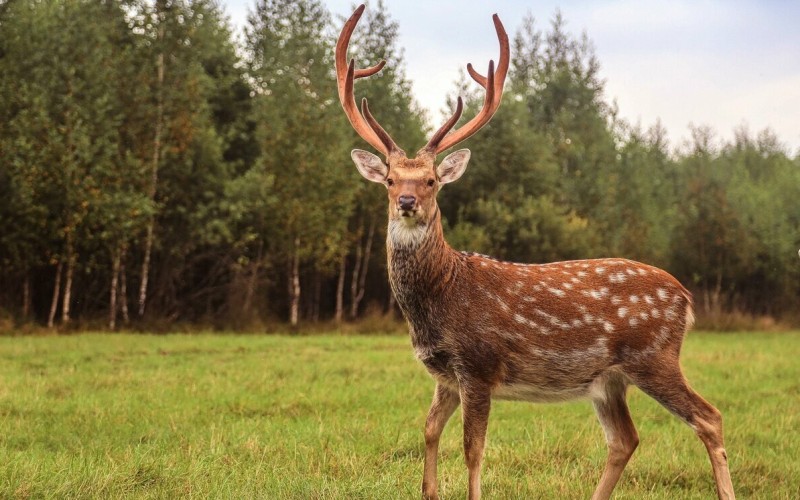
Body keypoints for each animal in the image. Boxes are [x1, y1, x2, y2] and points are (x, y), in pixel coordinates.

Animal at [334, 4, 736, 500]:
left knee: (709, 417)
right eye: (390, 180)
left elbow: (473, 449)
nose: (407, 202)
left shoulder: (479, 364)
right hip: (608, 380)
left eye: (431, 180)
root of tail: (687, 298)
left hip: (654, 355)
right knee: (625, 439)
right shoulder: (445, 374)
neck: (440, 297)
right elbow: (428, 432)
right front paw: (428, 488)